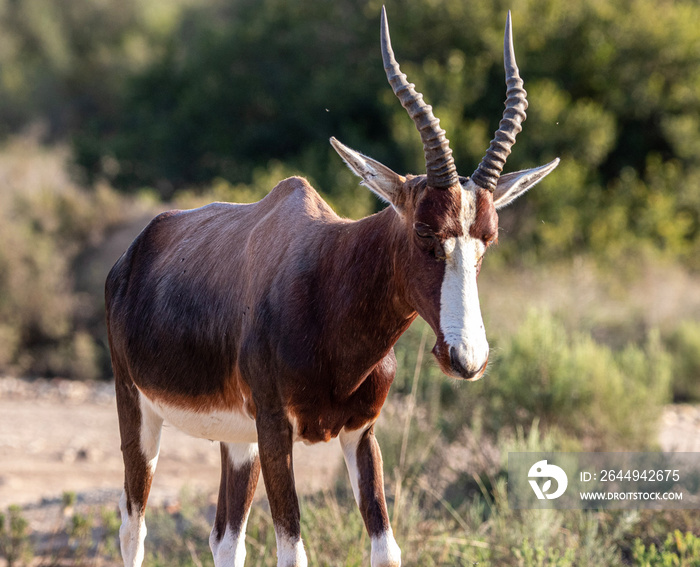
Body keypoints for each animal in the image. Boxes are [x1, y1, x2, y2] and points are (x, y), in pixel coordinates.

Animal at [106, 5, 560, 567]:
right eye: (425, 231)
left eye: (488, 239)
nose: (466, 358)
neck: (326, 283)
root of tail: (135, 251)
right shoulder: (276, 429)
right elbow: (294, 551)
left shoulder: (361, 432)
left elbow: (386, 549)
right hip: (139, 410)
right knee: (133, 527)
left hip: (238, 438)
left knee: (225, 538)